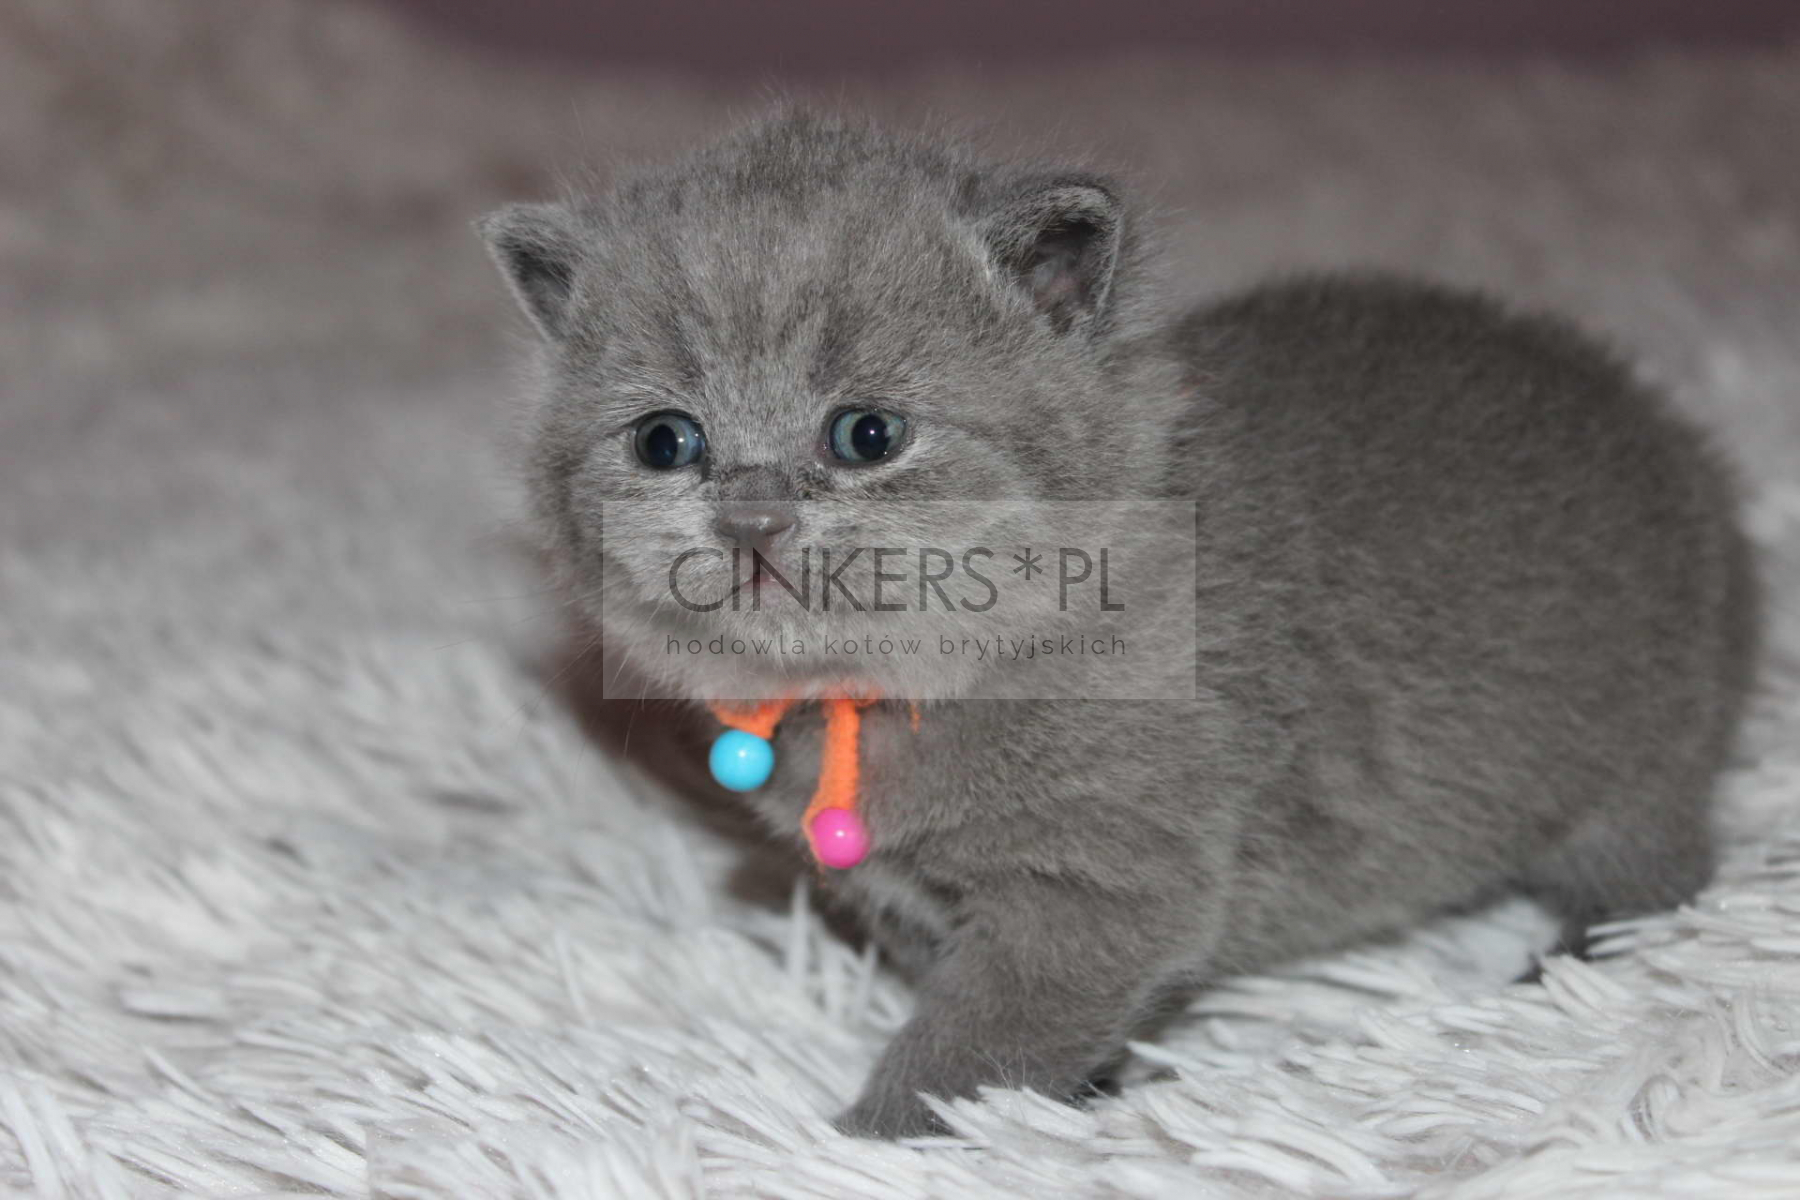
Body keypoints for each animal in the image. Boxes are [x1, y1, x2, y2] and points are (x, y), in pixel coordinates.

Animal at [479, 111, 1760, 1139]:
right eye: (666, 441)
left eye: (866, 434)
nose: (749, 516)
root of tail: (1687, 457)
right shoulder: (923, 902)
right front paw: (1091, 1085)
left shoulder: (1100, 887)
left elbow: (977, 1042)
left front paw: (867, 1143)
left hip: (1640, 759)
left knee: (1664, 874)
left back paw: (1570, 967)